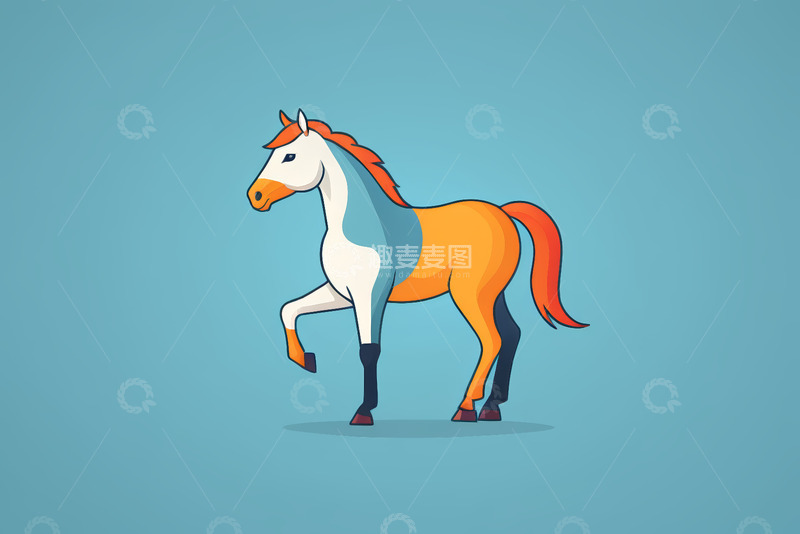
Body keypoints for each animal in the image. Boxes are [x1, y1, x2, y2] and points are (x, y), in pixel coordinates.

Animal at [246, 109, 588, 425]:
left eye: (289, 155)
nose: (255, 196)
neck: (358, 224)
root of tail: (503, 212)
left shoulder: (370, 296)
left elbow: (368, 351)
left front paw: (363, 411)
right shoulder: (341, 293)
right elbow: (289, 309)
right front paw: (306, 360)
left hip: (470, 294)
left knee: (492, 339)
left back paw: (466, 408)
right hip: (493, 292)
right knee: (512, 333)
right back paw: (491, 407)